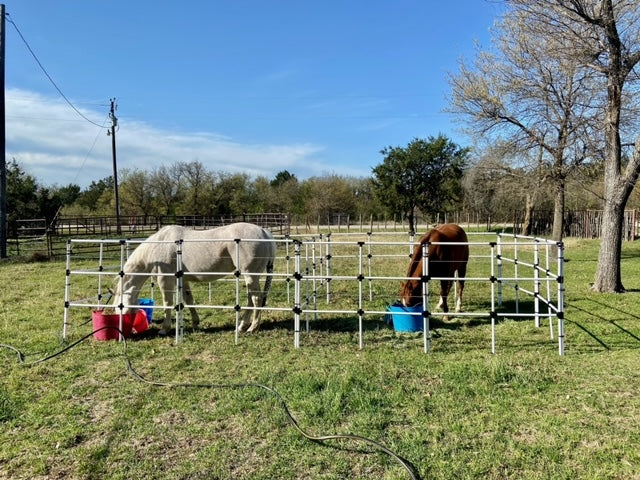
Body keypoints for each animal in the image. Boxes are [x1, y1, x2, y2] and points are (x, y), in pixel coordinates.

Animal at [112, 224, 276, 334]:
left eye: (119, 308)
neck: (158, 246)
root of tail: (263, 232)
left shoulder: (165, 280)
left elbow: (167, 303)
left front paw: (164, 329)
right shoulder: (183, 280)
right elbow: (189, 300)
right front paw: (196, 323)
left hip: (250, 275)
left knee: (256, 299)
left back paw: (252, 328)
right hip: (250, 277)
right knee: (251, 299)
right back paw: (242, 326)